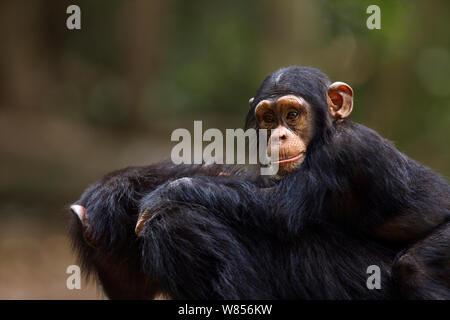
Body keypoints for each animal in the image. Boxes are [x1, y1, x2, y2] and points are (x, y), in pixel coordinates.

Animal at [68, 65, 448, 300]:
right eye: (268, 119)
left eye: (292, 115)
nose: (279, 135)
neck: (328, 132)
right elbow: (246, 183)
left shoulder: (341, 153)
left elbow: (278, 210)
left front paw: (163, 195)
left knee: (416, 269)